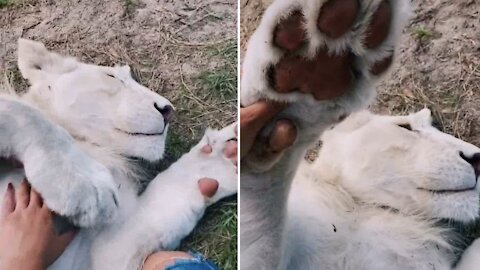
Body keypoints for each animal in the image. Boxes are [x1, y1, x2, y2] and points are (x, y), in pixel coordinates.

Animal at [0, 38, 238, 270]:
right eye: (111, 76)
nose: (167, 110)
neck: (91, 147)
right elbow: (22, 111)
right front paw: (84, 187)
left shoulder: (97, 256)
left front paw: (222, 159)